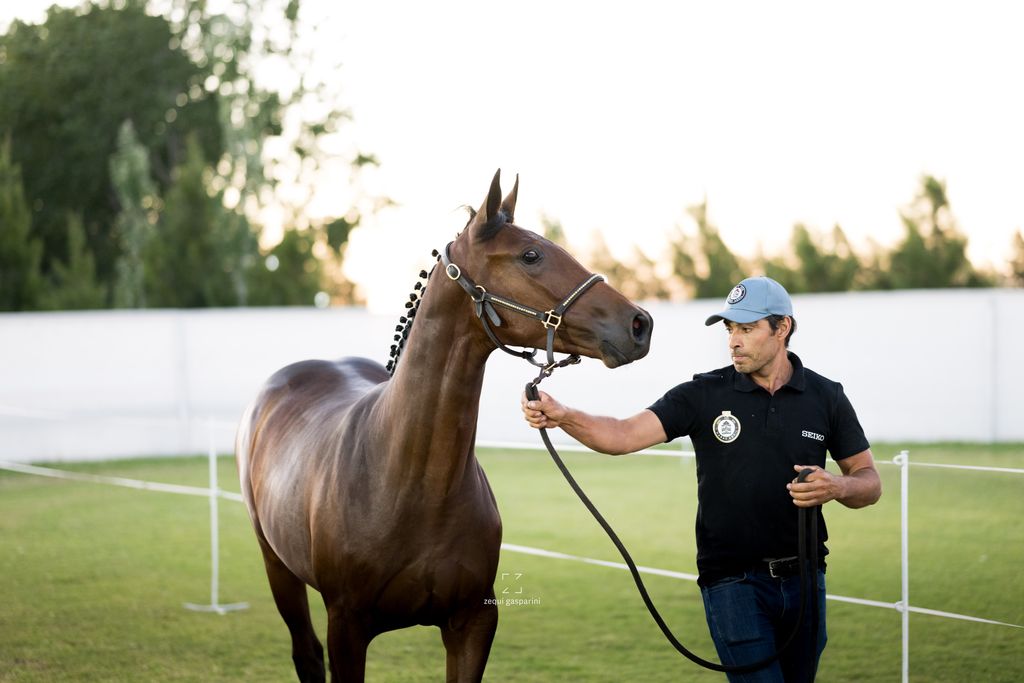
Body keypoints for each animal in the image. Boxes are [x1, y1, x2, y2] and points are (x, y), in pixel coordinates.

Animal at [235, 170, 653, 682]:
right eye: (531, 254)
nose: (639, 323)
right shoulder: (347, 626)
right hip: (278, 568)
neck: (410, 484)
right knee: (306, 654)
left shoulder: (473, 622)